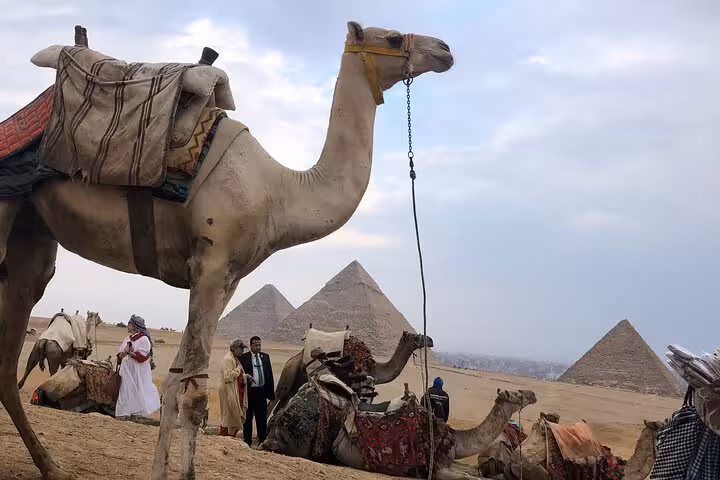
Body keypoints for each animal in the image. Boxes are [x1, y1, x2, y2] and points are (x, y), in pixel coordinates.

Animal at [260, 385, 537, 480]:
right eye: (516, 394)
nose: (533, 394)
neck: (456, 441)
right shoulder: (433, 470)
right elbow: (472, 479)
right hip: (298, 440)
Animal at [268, 330, 434, 416]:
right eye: (415, 336)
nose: (430, 340)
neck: (374, 368)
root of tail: (293, 359)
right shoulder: (361, 385)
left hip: (296, 383)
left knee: (280, 405)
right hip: (288, 376)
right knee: (274, 400)